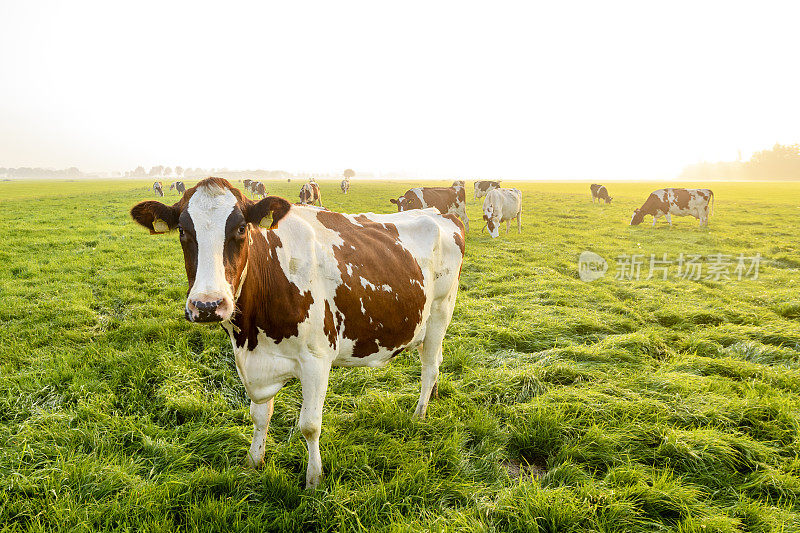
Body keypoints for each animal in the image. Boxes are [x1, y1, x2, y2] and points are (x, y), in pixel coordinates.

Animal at [129, 178, 466, 486]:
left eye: (241, 229)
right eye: (183, 232)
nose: (208, 304)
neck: (250, 336)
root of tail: (440, 213)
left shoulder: (317, 360)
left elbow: (310, 425)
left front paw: (313, 480)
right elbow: (259, 417)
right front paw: (254, 462)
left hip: (441, 310)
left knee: (430, 366)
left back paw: (420, 413)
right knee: (435, 360)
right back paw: (433, 396)